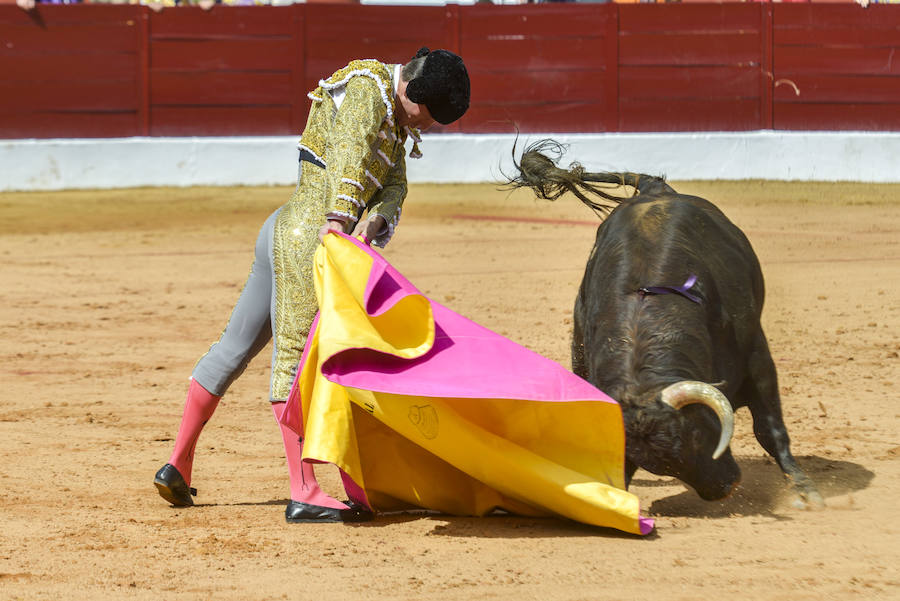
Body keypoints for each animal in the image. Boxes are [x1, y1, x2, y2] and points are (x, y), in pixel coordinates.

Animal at [506, 139, 824, 506]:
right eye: (653, 463)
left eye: (698, 435)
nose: (725, 488)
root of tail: (654, 188)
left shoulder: (756, 356)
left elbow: (769, 427)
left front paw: (804, 490)